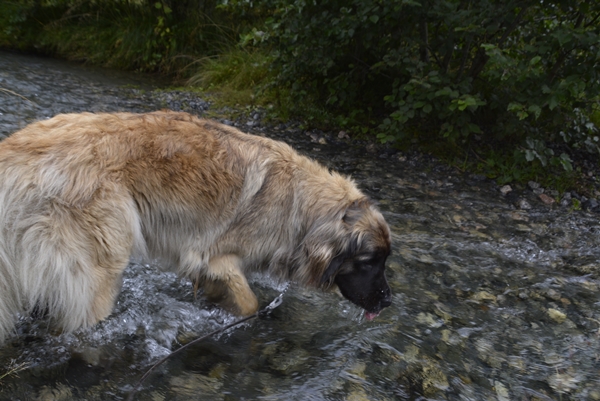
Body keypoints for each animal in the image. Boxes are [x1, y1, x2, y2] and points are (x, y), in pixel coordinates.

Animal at [0, 110, 392, 340]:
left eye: (384, 261)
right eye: (369, 262)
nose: (388, 302)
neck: (301, 207)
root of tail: (14, 153)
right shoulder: (216, 257)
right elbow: (249, 303)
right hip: (99, 269)